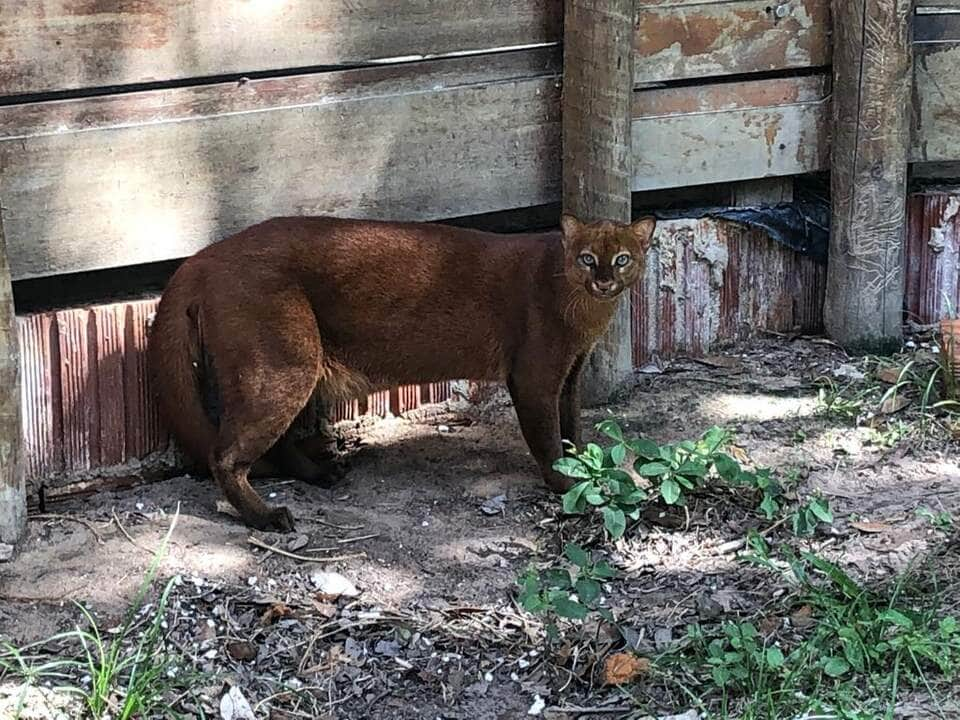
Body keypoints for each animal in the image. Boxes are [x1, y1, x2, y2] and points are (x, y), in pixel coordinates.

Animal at [150, 212, 656, 528]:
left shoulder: (569, 376)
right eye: (587, 258)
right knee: (225, 454)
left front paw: (587, 468)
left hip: (294, 367)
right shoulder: (535, 377)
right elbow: (548, 440)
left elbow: (571, 429)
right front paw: (566, 485)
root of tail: (200, 258)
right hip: (281, 365)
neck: (585, 316)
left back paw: (323, 474)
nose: (604, 280)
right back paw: (268, 518)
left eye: (623, 258)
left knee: (277, 439)